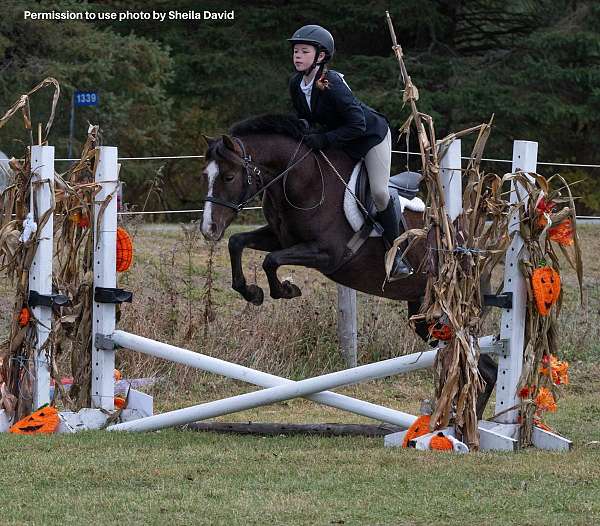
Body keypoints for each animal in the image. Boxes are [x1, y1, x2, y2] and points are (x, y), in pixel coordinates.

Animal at [202, 114, 496, 416]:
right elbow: (237, 242)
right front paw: (251, 292)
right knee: (479, 368)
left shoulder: (327, 254)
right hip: (426, 317)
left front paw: (285, 290)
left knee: (482, 368)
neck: (303, 181)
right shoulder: (279, 237)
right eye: (205, 176)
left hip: (450, 313)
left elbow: (270, 260)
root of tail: (475, 250)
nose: (209, 229)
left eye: (229, 176)